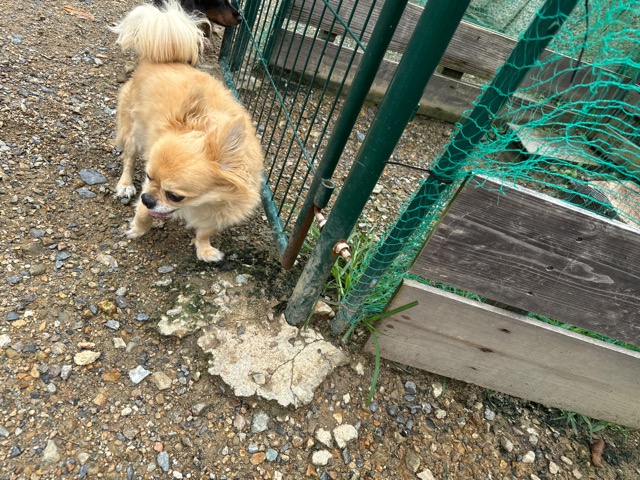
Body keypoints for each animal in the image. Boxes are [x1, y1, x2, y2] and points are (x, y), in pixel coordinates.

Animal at [111, 1, 263, 262]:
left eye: (175, 195)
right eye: (149, 177)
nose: (147, 198)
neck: (203, 203)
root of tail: (163, 59)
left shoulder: (219, 211)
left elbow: (205, 231)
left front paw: (204, 249)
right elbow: (143, 214)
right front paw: (137, 229)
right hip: (135, 133)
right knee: (129, 158)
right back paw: (125, 185)